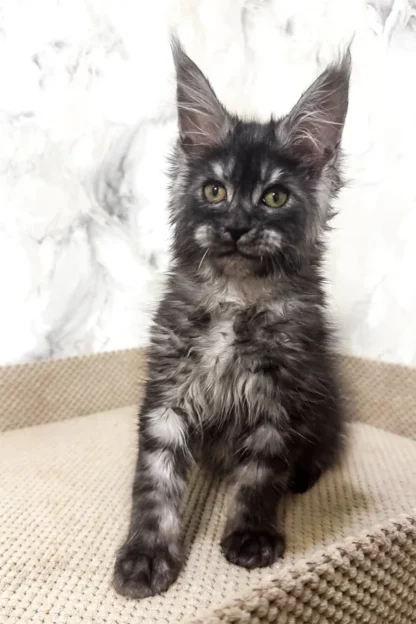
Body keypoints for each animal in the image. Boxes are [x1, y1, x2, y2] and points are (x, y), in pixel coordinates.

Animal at [112, 40, 350, 600]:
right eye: (214, 191)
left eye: (275, 197)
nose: (238, 226)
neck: (236, 298)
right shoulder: (168, 393)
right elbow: (155, 480)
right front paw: (146, 554)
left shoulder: (280, 397)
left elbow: (260, 475)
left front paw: (252, 535)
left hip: (324, 407)